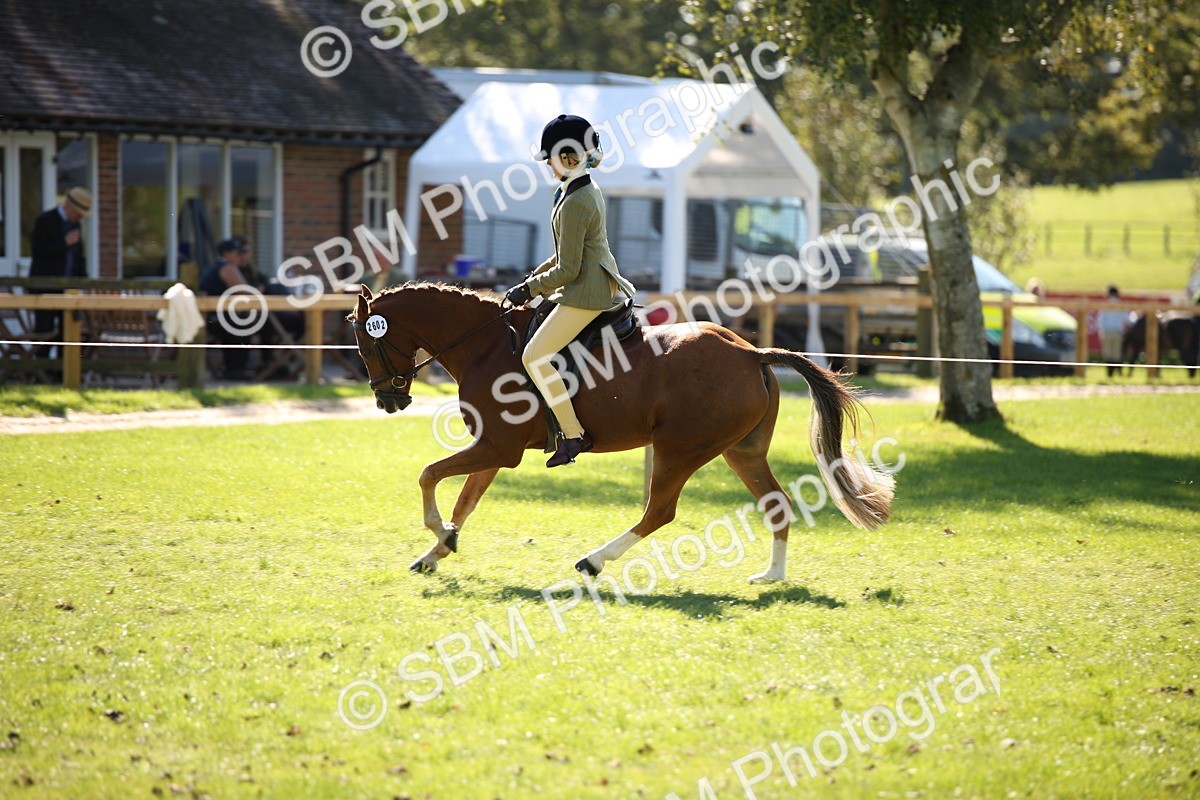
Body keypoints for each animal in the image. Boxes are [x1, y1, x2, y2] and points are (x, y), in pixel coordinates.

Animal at [348, 283, 894, 583]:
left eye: (367, 345)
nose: (387, 400)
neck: (484, 344)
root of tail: (749, 352)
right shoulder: (496, 450)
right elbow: (465, 500)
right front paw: (438, 550)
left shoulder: (498, 447)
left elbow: (428, 475)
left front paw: (438, 535)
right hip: (740, 452)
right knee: (775, 503)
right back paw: (773, 576)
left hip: (679, 449)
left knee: (659, 511)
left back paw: (593, 562)